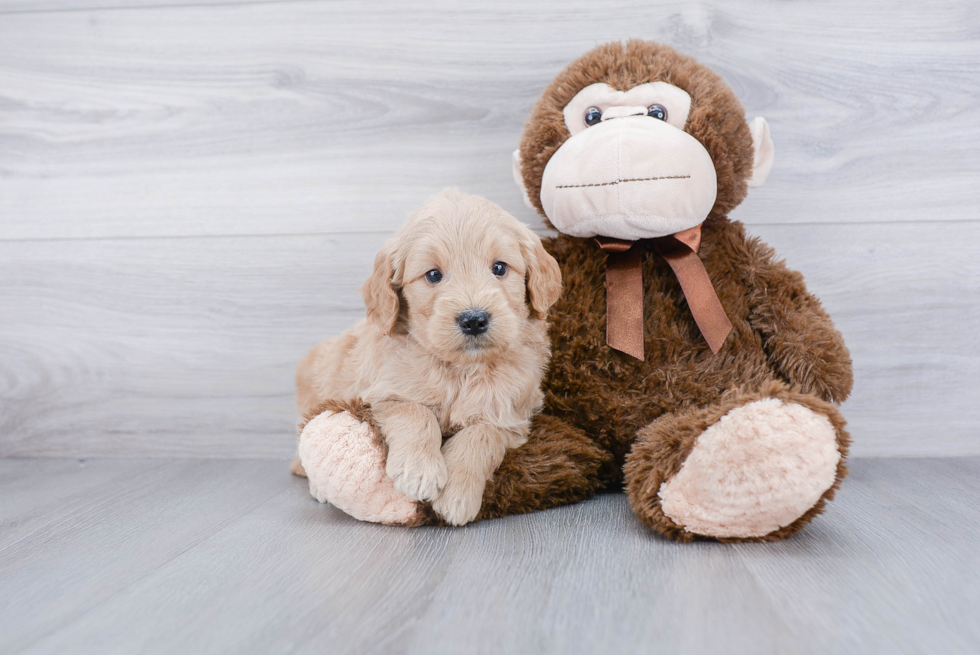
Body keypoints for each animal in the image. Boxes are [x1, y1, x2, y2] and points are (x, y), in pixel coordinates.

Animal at [292, 187, 560, 524]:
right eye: (433, 275)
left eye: (499, 268)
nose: (474, 320)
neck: (461, 370)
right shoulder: (379, 396)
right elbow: (415, 411)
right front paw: (419, 472)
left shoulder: (510, 417)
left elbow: (481, 435)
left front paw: (457, 494)